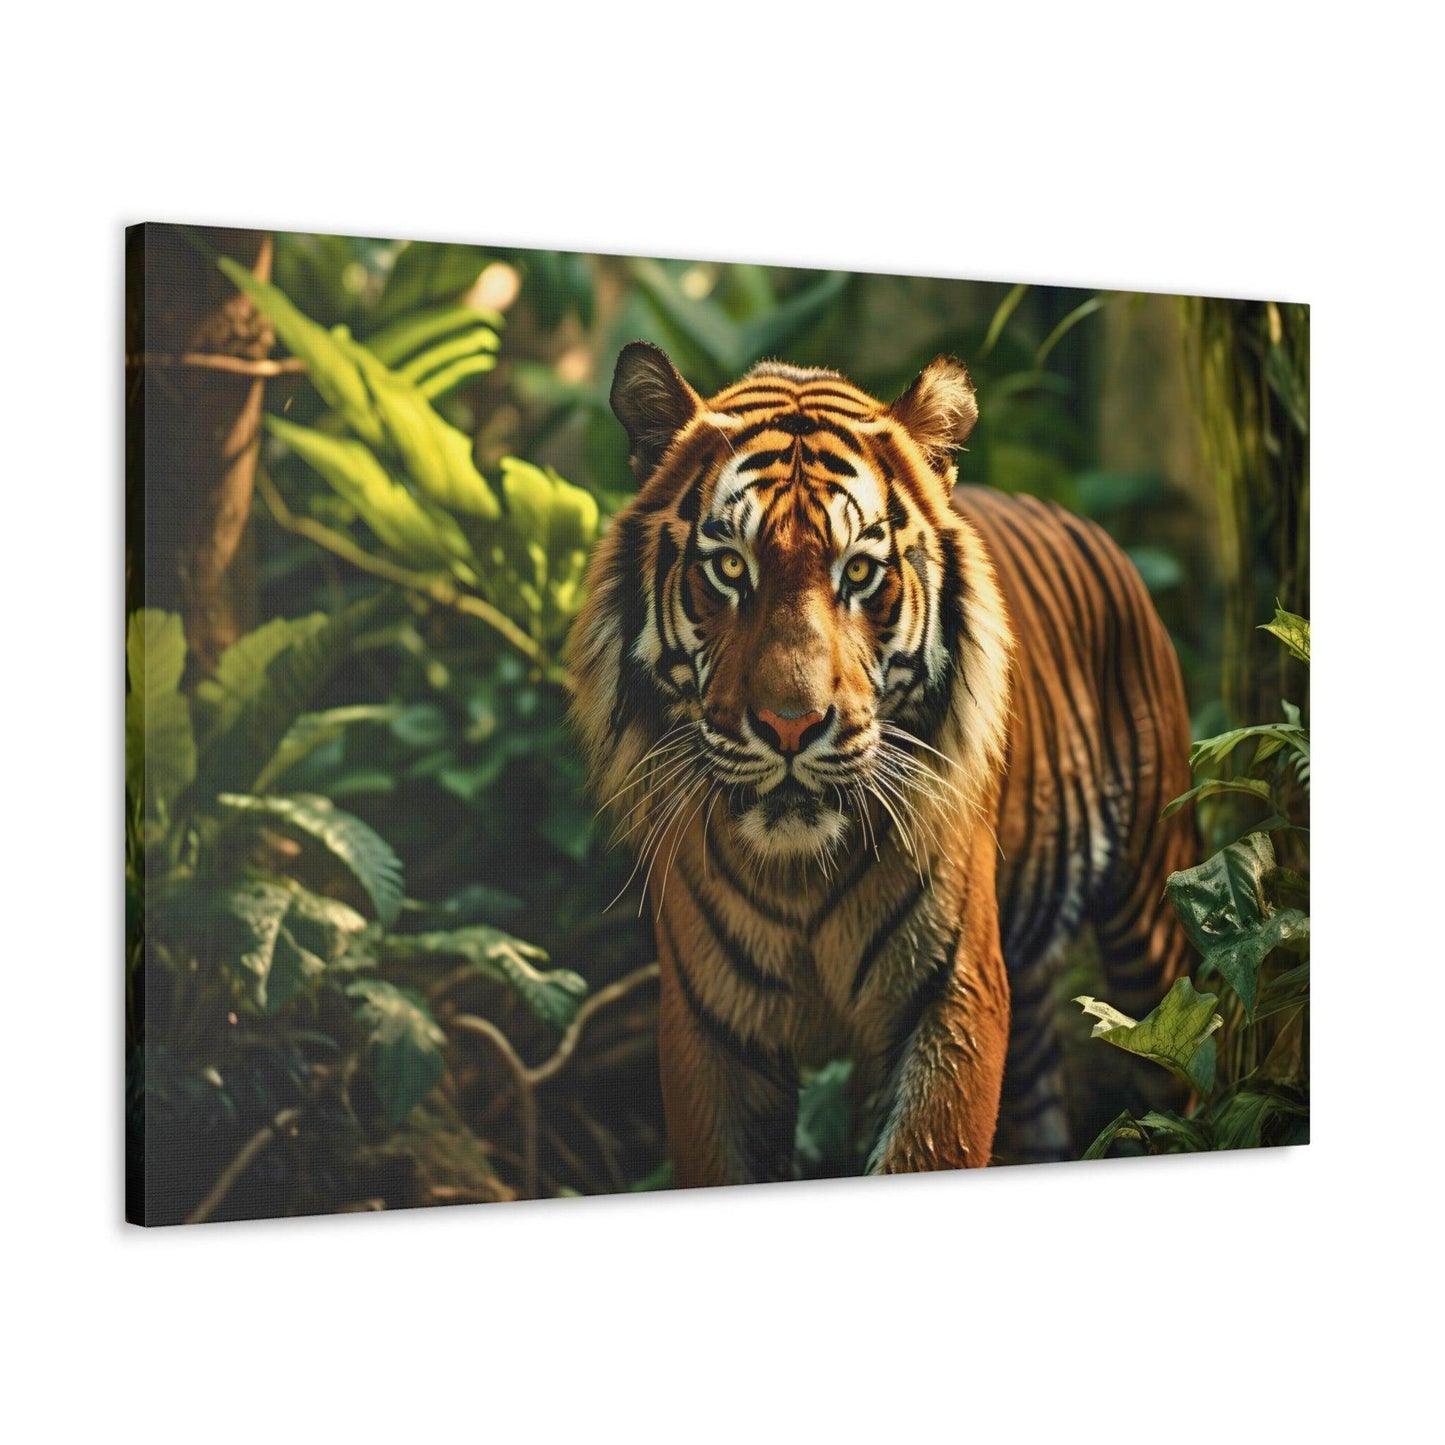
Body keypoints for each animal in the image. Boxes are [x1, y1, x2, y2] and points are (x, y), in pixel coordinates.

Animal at [568, 341, 1195, 1185]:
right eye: (729, 568)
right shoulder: (711, 1027)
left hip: (1152, 920)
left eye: (858, 573)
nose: (791, 724)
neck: (799, 877)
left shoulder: (950, 997)